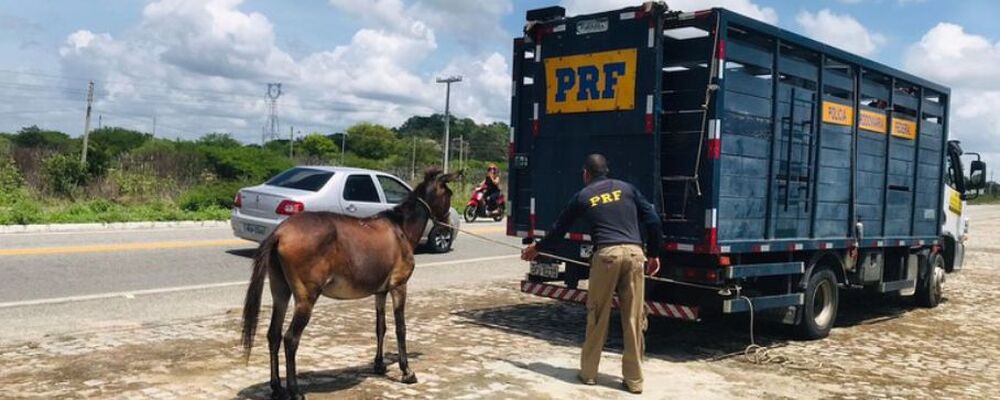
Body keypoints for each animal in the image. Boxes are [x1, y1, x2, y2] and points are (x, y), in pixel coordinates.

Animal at [242, 167, 460, 398]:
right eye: (449, 194)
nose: (447, 226)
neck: (400, 228)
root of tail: (280, 232)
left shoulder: (380, 292)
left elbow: (380, 327)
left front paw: (379, 365)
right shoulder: (399, 286)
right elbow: (401, 329)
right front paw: (407, 371)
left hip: (281, 292)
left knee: (273, 335)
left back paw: (276, 387)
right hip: (306, 299)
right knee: (291, 339)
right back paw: (295, 390)